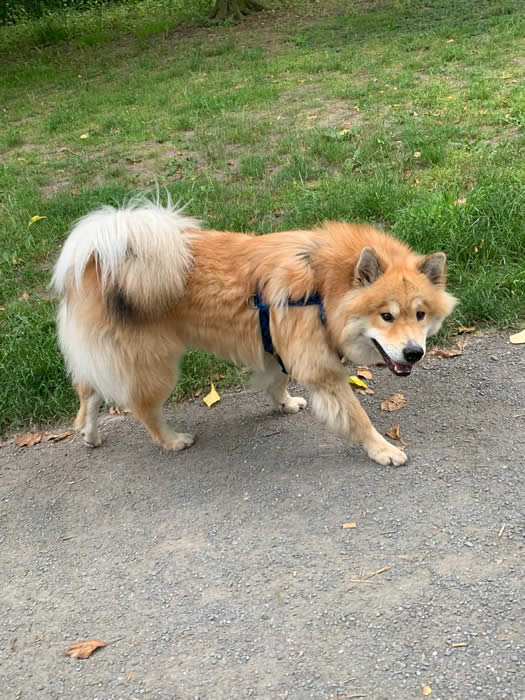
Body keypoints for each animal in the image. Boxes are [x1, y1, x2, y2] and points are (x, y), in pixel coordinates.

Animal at [52, 195, 457, 466]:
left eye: (420, 315)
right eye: (386, 316)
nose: (414, 353)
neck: (321, 289)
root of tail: (97, 261)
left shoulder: (281, 346)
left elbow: (278, 381)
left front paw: (285, 403)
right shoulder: (321, 370)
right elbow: (359, 418)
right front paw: (383, 449)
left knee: (88, 390)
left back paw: (89, 433)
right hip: (154, 365)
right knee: (142, 408)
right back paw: (172, 440)